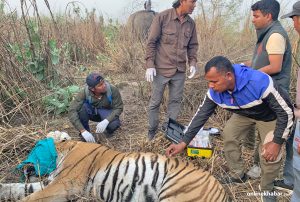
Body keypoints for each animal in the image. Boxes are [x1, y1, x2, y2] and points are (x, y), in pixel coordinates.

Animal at [0, 140, 230, 201]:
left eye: (32, 152)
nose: (24, 167)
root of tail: (221, 188)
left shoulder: (65, 184)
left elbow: (31, 197)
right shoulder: (52, 182)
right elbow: (21, 188)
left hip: (176, 194)